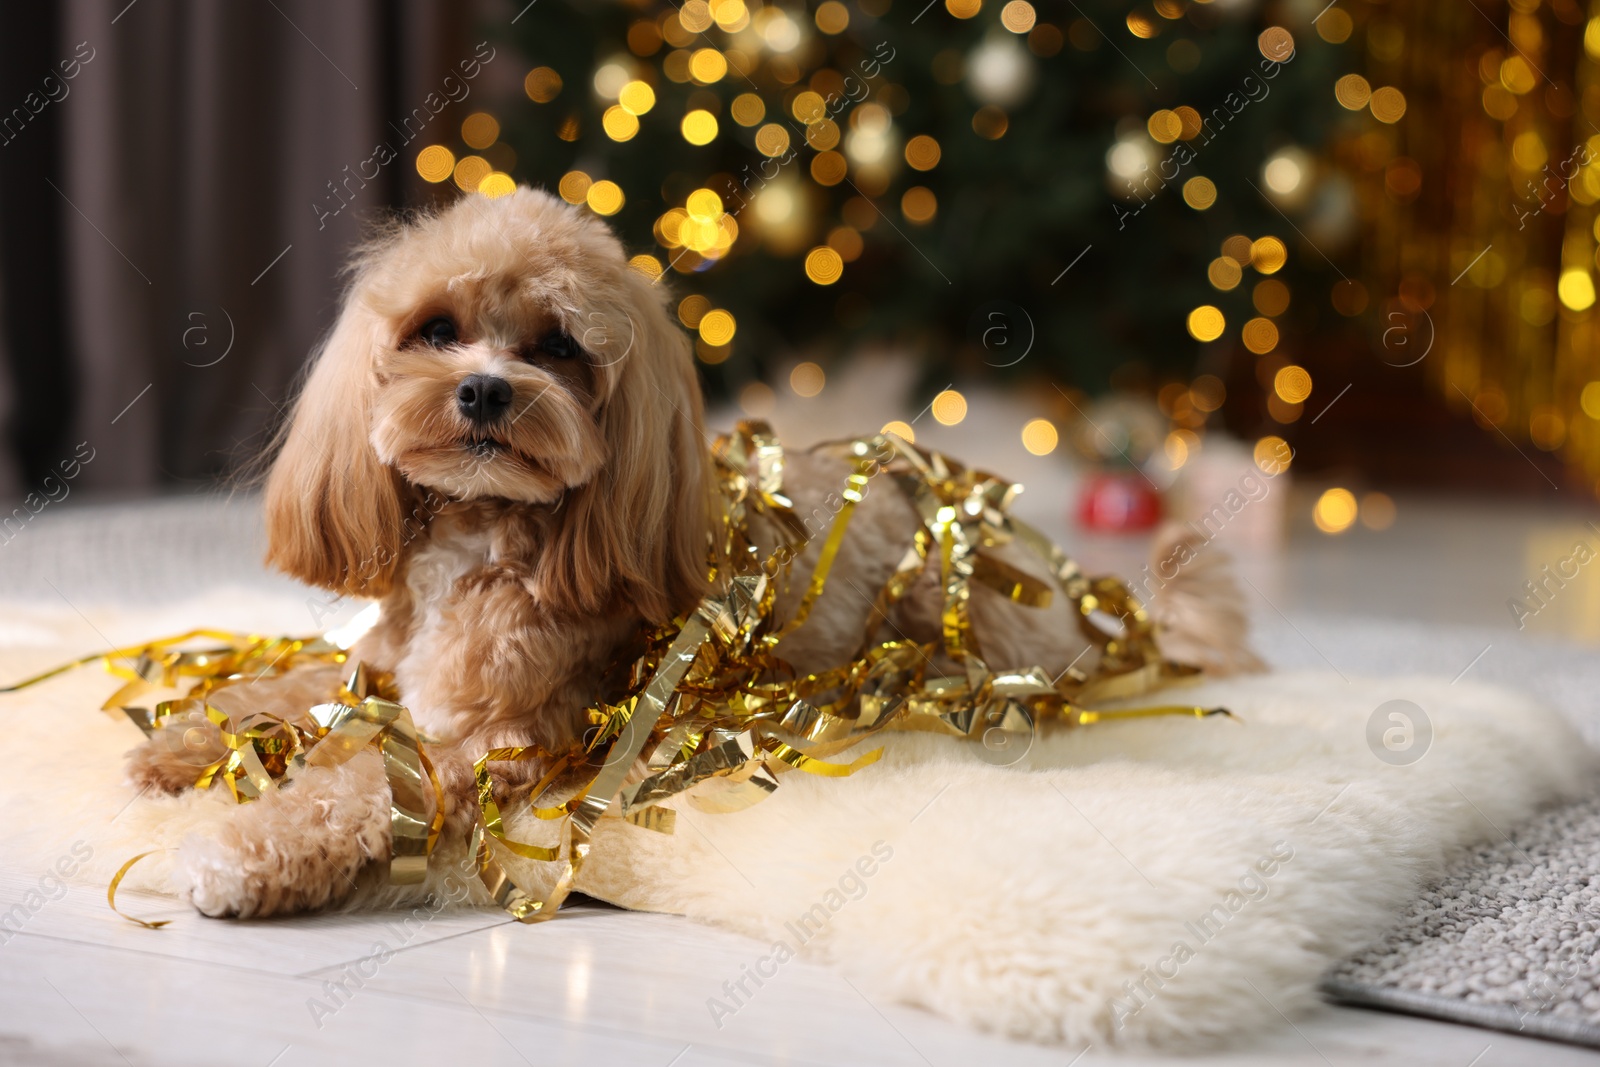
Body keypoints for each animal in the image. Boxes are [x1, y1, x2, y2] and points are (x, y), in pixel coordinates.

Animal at [124, 185, 1254, 921]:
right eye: (435, 330)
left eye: (558, 348)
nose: (485, 391)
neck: (482, 540)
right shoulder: (381, 668)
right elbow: (293, 683)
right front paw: (182, 741)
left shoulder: (490, 745)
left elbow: (356, 783)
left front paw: (239, 851)